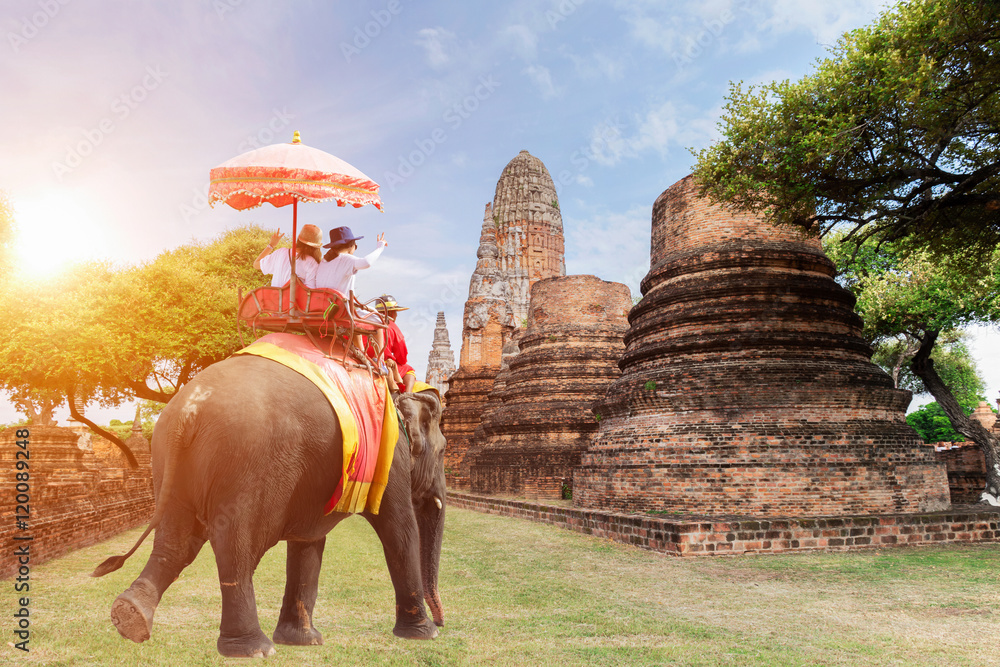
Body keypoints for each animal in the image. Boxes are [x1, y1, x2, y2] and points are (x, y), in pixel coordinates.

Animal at [91, 354, 447, 658]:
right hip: (244, 462)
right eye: (443, 450)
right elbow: (399, 528)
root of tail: (189, 409)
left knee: (176, 542)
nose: (444, 621)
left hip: (169, 462)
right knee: (236, 545)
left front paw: (303, 642)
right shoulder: (391, 455)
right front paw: (425, 634)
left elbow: (307, 541)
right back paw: (253, 649)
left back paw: (130, 617)